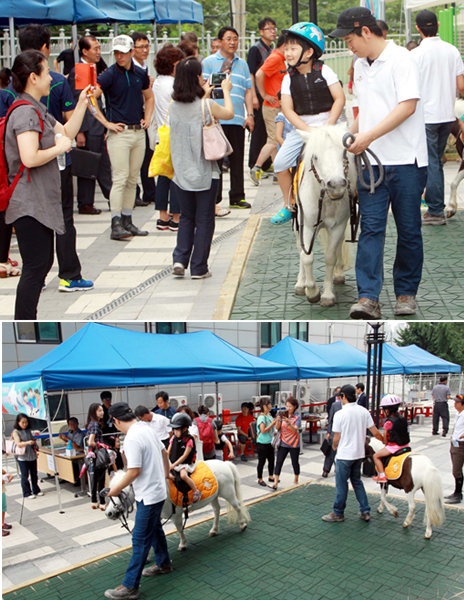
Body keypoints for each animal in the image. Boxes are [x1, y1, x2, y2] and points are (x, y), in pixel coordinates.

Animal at [294, 124, 356, 308]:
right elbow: (306, 257)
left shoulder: (338, 226)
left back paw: (338, 274)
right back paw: (300, 284)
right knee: (300, 249)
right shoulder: (307, 226)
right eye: (315, 156)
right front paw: (312, 291)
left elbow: (330, 257)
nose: (337, 185)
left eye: (343, 152)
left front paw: (327, 295)